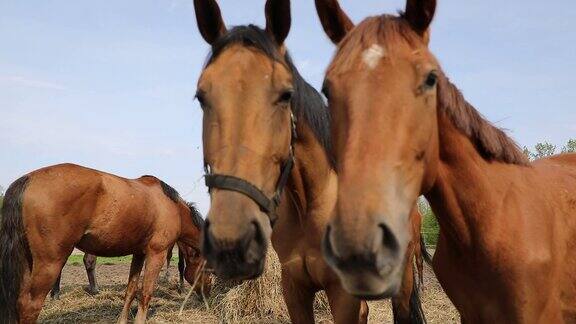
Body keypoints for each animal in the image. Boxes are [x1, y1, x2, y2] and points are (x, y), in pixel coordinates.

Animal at [0, 165, 210, 324]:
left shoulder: (139, 253)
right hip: (50, 262)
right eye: (208, 269)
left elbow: (130, 290)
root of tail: (27, 180)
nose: (206, 295)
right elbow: (145, 293)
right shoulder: (156, 253)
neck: (172, 208)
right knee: (29, 305)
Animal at [191, 1, 426, 322]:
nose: (231, 240)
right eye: (201, 96)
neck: (312, 205)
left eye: (285, 94)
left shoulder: (341, 294)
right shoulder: (294, 288)